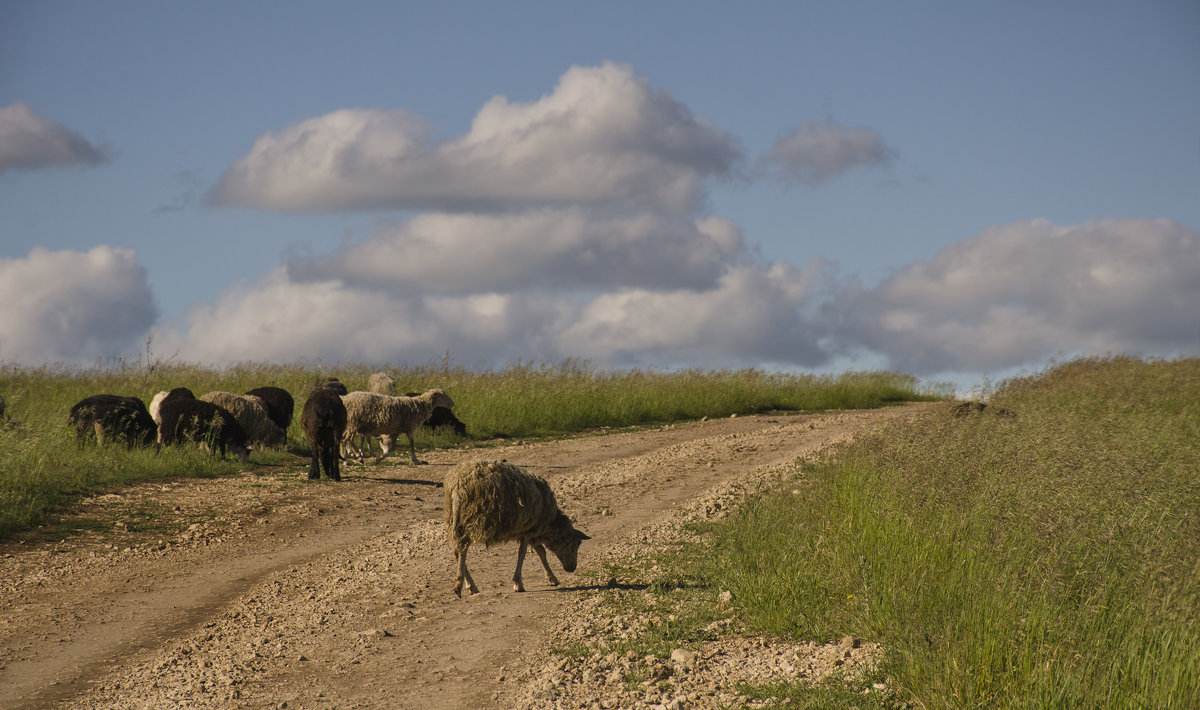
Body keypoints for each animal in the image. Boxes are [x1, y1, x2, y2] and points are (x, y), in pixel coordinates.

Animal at [444, 458, 588, 597]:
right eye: (576, 544)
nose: (572, 568)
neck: (549, 524)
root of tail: (457, 488)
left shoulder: (531, 529)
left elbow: (541, 551)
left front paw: (551, 578)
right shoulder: (528, 530)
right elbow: (524, 553)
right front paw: (518, 583)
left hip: (457, 521)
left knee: (457, 551)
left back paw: (471, 586)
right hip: (475, 519)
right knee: (462, 549)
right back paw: (461, 585)